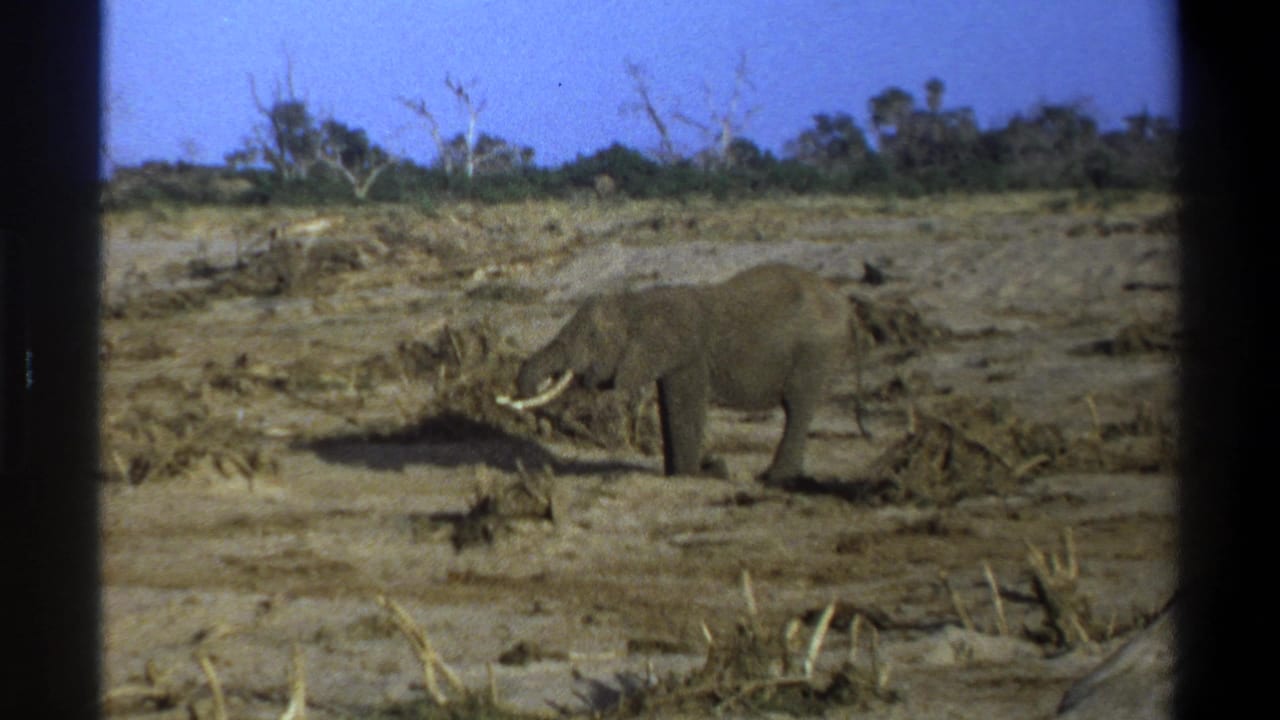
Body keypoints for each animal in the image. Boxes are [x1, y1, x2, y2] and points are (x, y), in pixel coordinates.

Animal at [501, 263, 852, 483]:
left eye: (592, 338)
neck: (638, 301)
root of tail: (840, 299)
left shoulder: (688, 356)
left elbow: (685, 407)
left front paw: (702, 473)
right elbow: (670, 406)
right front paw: (682, 473)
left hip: (814, 353)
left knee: (797, 407)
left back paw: (775, 479)